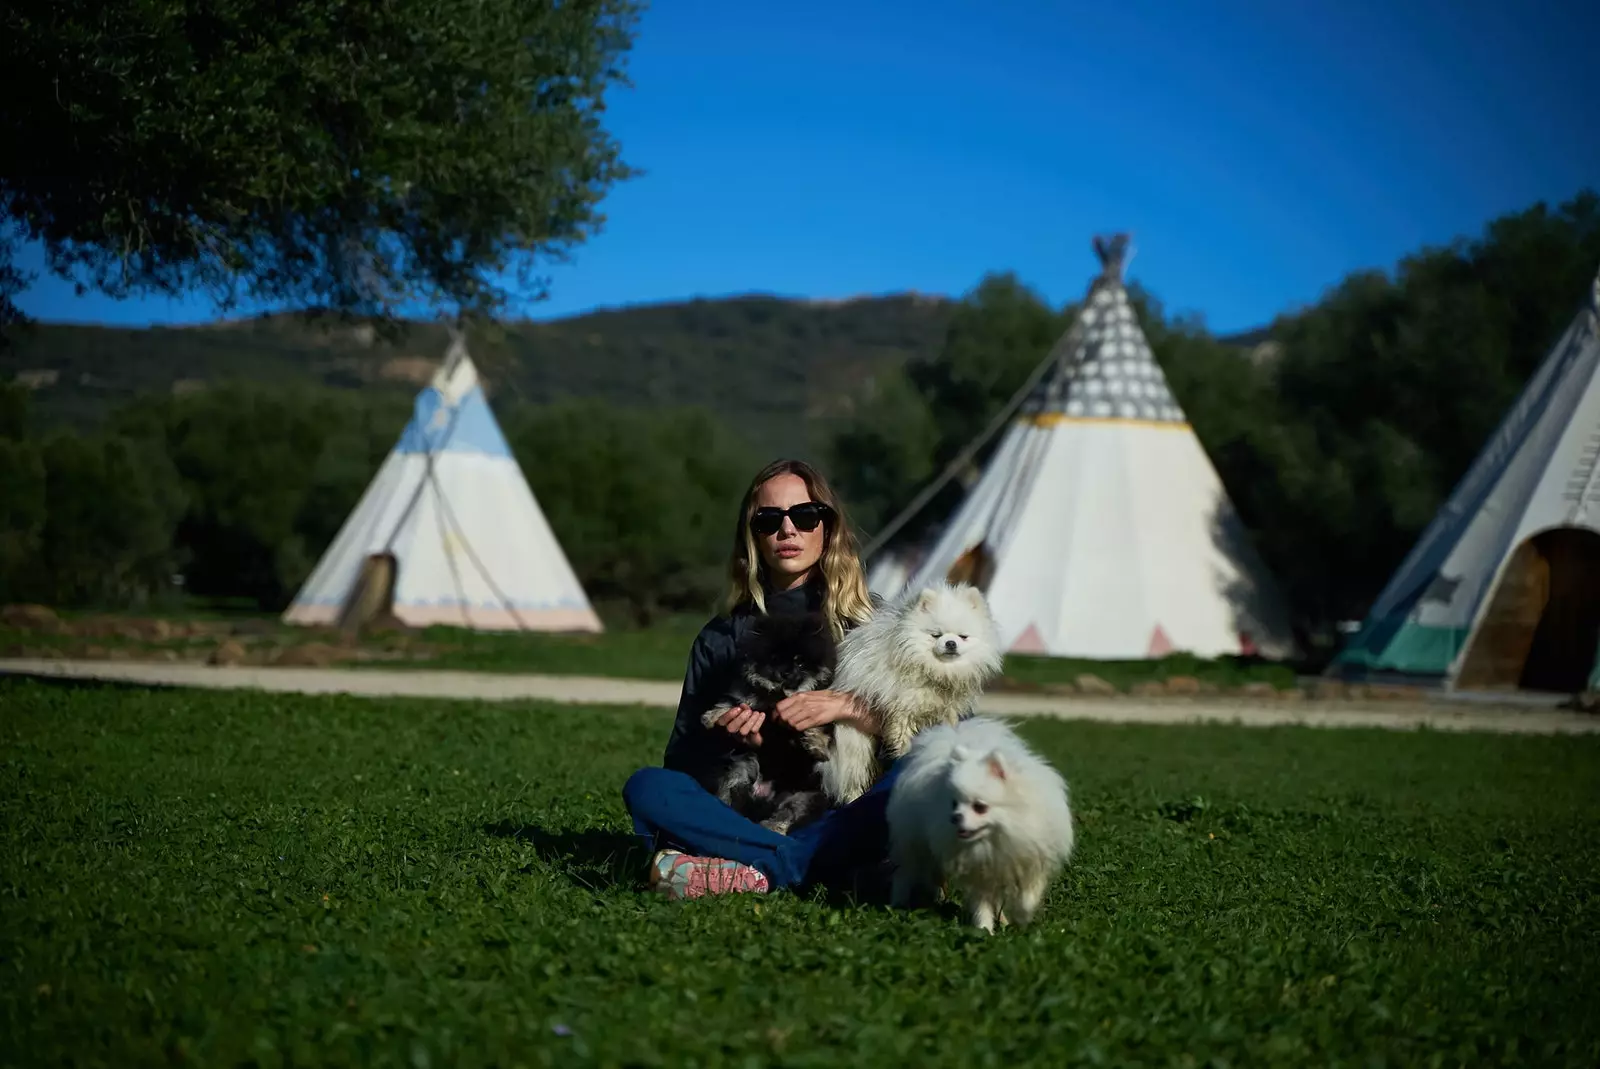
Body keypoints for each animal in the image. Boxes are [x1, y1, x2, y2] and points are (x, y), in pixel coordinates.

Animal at [825, 579, 998, 806]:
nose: (951, 643)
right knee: (853, 778)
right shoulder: (903, 711)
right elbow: (904, 740)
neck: (935, 671)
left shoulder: (947, 711)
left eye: (963, 637)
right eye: (936, 635)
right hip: (854, 742)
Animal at [889, 716, 1075, 934]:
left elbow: (1027, 897)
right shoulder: (978, 872)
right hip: (913, 844)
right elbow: (981, 905)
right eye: (954, 804)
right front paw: (985, 930)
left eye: (979, 807)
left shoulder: (1030, 860)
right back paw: (899, 902)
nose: (955, 817)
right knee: (905, 872)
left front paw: (1021, 918)